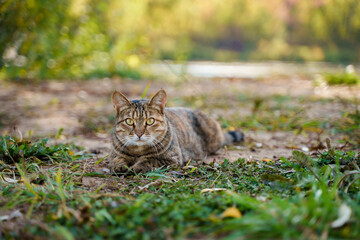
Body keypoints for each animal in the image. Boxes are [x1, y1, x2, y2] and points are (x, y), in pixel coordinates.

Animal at [108, 89, 243, 172]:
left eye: (150, 121)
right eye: (129, 121)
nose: (139, 133)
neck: (137, 151)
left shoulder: (173, 158)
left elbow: (150, 159)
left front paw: (138, 166)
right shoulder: (115, 154)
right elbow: (117, 159)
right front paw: (119, 166)